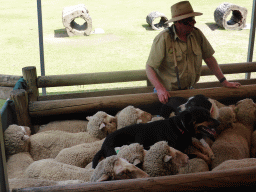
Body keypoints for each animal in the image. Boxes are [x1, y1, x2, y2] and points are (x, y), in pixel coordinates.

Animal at [92, 106, 220, 168]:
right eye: (203, 117)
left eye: (209, 114)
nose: (218, 123)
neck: (180, 127)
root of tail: (103, 146)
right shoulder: (180, 150)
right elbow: (196, 154)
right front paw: (207, 158)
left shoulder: (188, 140)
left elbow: (198, 144)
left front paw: (208, 152)